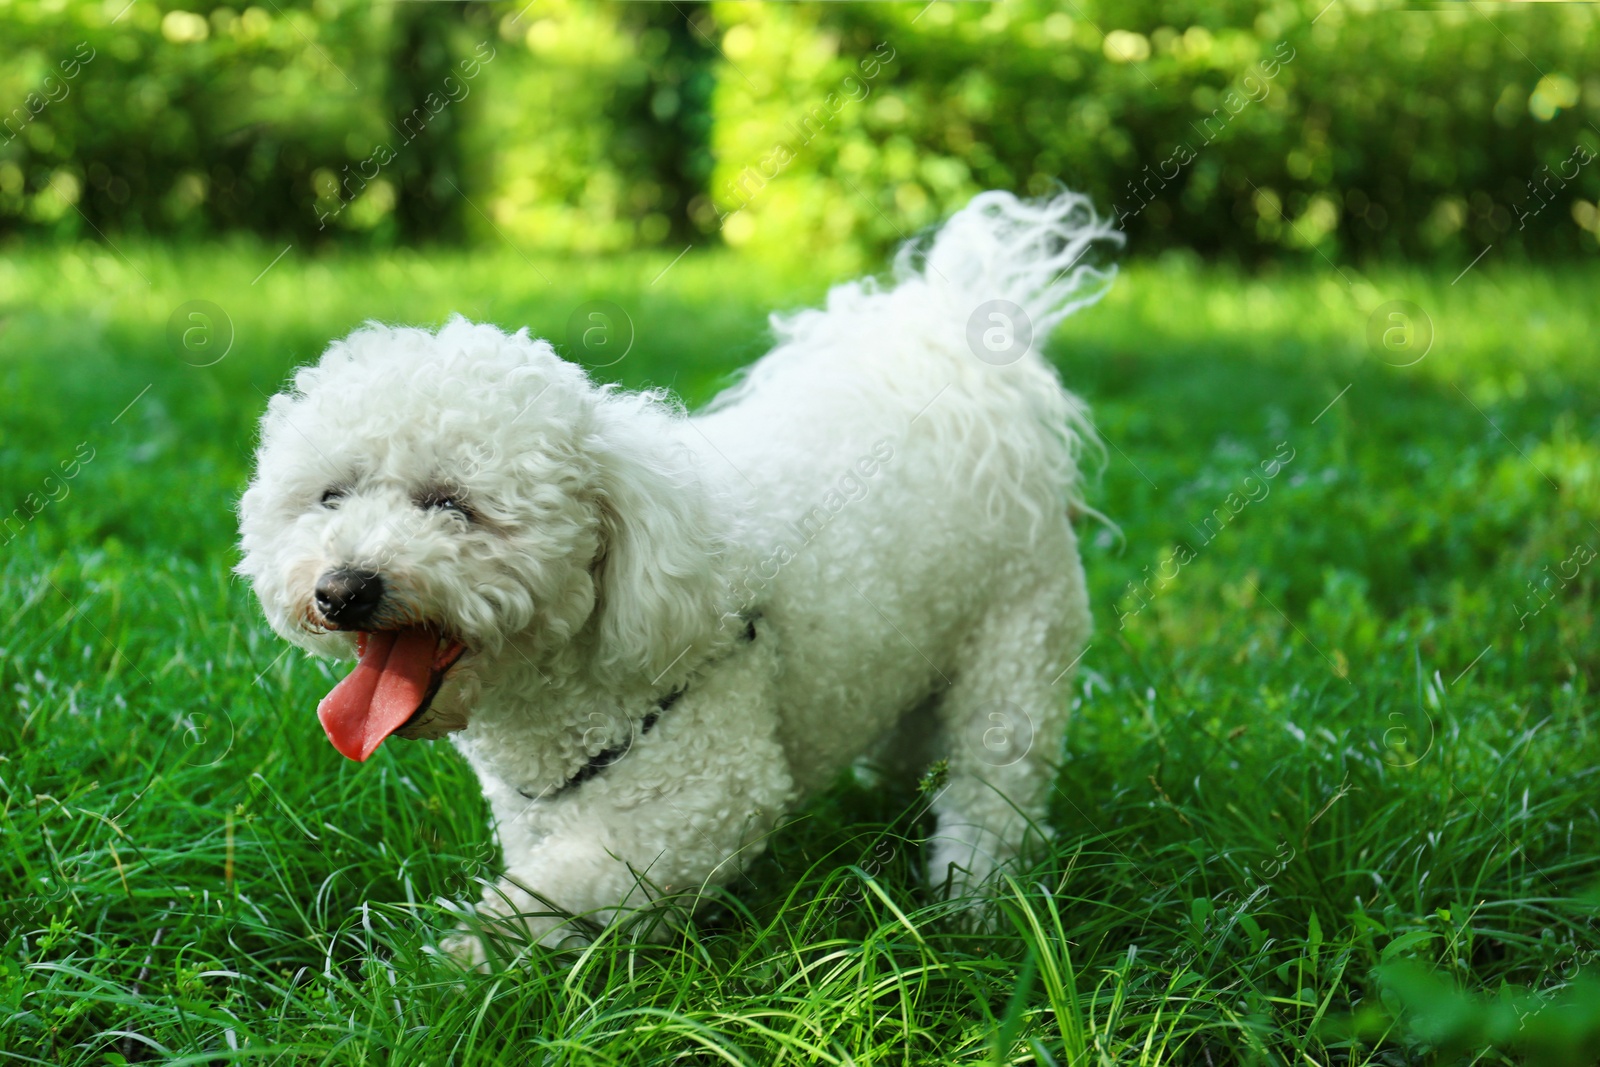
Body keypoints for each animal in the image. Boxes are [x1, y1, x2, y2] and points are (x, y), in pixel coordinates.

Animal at [236, 187, 1120, 966]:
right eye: (331, 495)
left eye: (452, 504)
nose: (342, 589)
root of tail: (973, 382)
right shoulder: (541, 810)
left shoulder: (709, 793)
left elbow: (554, 890)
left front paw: (459, 963)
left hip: (1016, 652)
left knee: (993, 789)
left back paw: (973, 902)